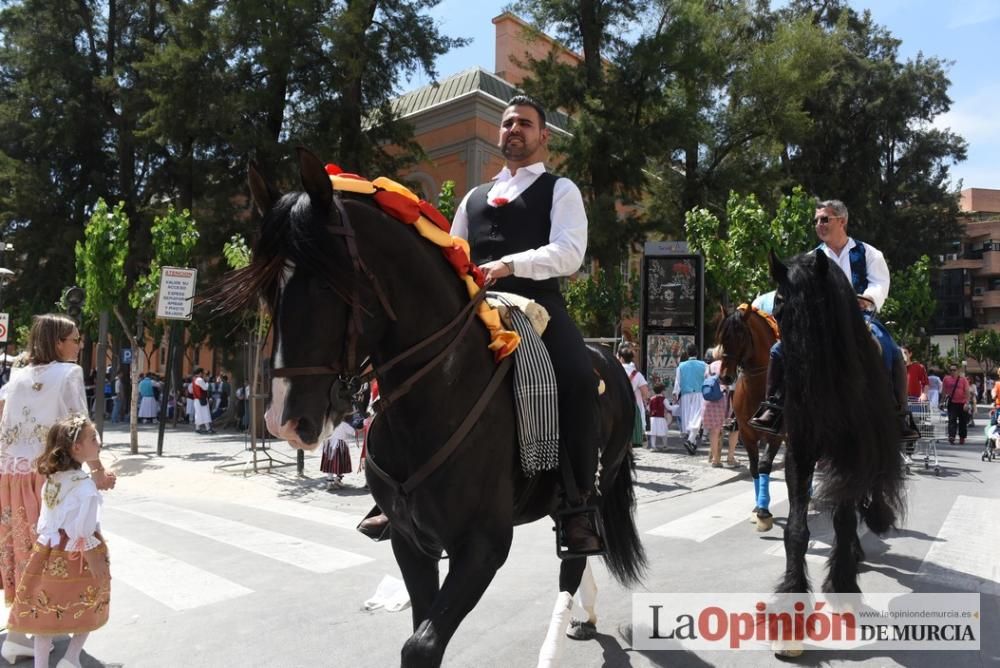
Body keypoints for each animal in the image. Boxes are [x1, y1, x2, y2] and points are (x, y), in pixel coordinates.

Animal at [219, 151, 644, 668]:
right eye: (267, 291)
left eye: (325, 284)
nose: (284, 421)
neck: (433, 399)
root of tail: (608, 358)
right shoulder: (410, 540)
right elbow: (421, 624)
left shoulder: (482, 547)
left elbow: (421, 644)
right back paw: (587, 617)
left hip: (591, 483)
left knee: (575, 556)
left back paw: (553, 645)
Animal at [716, 306, 784, 528]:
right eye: (721, 336)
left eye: (740, 336)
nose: (725, 377)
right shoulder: (746, 434)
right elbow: (754, 468)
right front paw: (758, 508)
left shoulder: (777, 435)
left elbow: (764, 465)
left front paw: (764, 512)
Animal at [768, 250, 904, 604]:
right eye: (778, 305)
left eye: (820, 307)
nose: (801, 389)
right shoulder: (800, 453)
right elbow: (797, 527)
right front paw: (793, 588)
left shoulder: (853, 456)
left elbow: (844, 518)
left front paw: (842, 581)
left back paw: (875, 520)